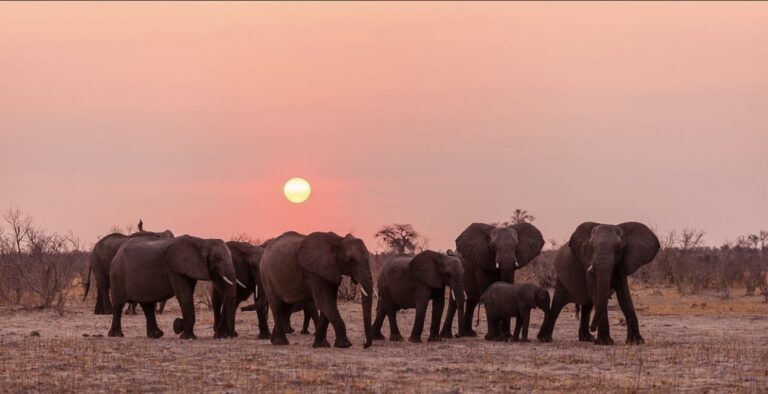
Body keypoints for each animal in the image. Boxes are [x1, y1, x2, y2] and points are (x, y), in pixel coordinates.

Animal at [106, 235, 236, 340]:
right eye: (216, 258)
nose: (222, 336)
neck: (202, 241)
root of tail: (117, 253)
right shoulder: (174, 268)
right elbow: (184, 296)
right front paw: (188, 337)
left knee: (147, 305)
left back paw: (156, 335)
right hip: (117, 275)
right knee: (118, 303)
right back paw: (116, 335)